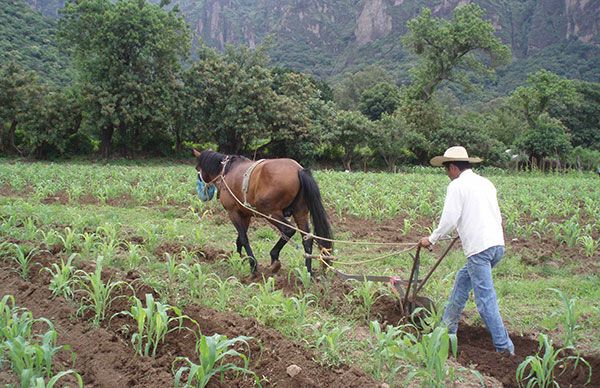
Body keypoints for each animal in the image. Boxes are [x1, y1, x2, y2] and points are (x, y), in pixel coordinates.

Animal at [195, 148, 332, 272]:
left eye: (197, 169)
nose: (202, 193)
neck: (226, 171)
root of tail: (299, 170)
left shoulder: (232, 212)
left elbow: (243, 237)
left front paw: (252, 264)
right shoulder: (245, 214)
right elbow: (240, 238)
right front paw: (239, 259)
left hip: (270, 212)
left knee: (288, 230)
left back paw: (274, 257)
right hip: (300, 212)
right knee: (307, 239)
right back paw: (307, 272)